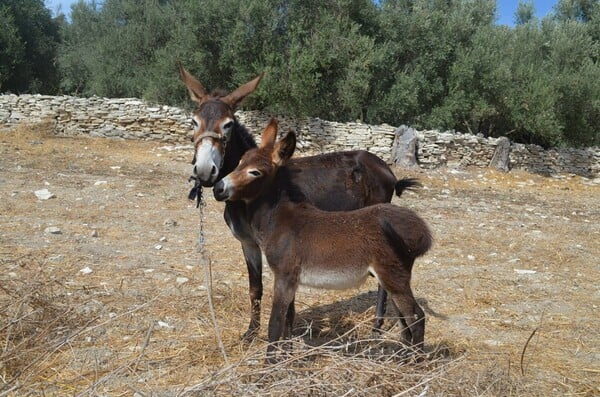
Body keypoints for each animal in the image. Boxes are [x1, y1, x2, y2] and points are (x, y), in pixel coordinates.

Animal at [214, 119, 432, 360]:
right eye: (239, 162)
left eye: (255, 172)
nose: (218, 189)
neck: (281, 218)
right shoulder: (289, 278)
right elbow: (287, 317)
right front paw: (286, 353)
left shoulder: (285, 275)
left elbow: (275, 323)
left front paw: (270, 364)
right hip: (393, 278)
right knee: (404, 316)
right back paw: (402, 355)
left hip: (393, 277)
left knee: (417, 316)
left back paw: (415, 361)